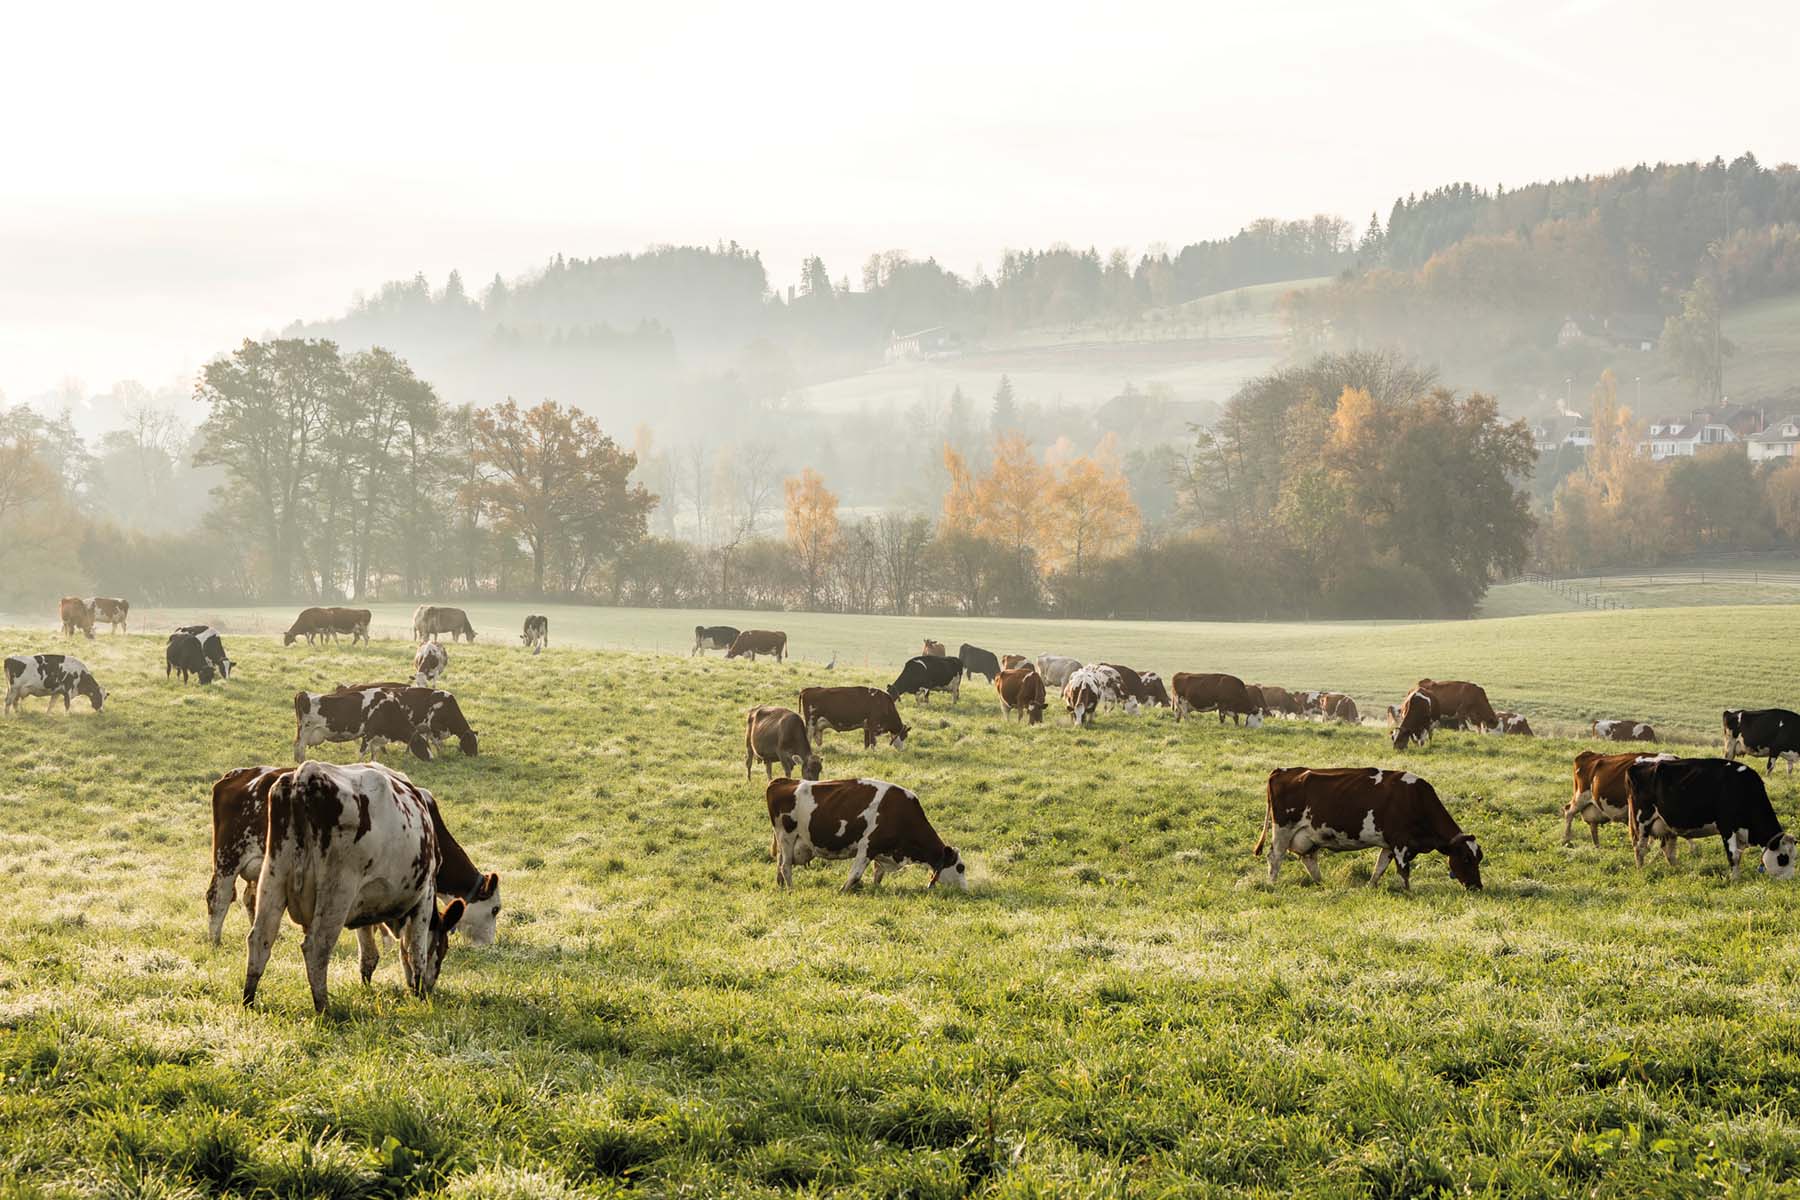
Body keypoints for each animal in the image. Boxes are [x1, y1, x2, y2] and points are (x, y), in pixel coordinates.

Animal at [243, 759, 475, 1014]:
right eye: (443, 950)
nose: (431, 988)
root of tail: (306, 775)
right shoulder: (424, 895)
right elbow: (417, 953)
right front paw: (420, 995)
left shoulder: (365, 901)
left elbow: (369, 954)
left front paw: (367, 986)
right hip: (338, 890)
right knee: (316, 947)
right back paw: (324, 1009)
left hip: (273, 876)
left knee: (260, 938)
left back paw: (249, 1001)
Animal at [298, 683, 435, 759]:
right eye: (422, 744)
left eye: (428, 744)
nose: (431, 758)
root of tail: (303, 693)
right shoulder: (368, 735)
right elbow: (361, 754)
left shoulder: (376, 739)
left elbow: (374, 756)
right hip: (304, 733)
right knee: (300, 752)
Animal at [770, 780, 972, 892]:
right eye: (960, 867)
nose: (966, 890)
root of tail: (782, 781)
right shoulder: (867, 846)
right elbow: (855, 875)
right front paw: (841, 891)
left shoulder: (882, 851)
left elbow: (878, 874)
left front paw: (876, 889)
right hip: (787, 837)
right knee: (786, 866)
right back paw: (791, 890)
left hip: (786, 842)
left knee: (780, 864)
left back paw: (780, 886)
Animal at [1260, 770, 1483, 892]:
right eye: (1466, 859)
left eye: (1478, 858)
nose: (1477, 887)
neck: (1415, 798)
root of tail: (1282, 771)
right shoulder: (1401, 843)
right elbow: (1404, 872)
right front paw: (1408, 892)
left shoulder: (1390, 845)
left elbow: (1379, 868)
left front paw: (1370, 887)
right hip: (1283, 829)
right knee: (1275, 857)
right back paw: (1271, 884)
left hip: (1309, 836)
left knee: (1309, 859)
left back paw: (1321, 884)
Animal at [1627, 759, 1792, 881]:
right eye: (1783, 858)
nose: (1789, 880)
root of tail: (1637, 766)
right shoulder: (1726, 825)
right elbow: (1733, 855)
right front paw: (1735, 879)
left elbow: (1738, 856)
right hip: (1641, 821)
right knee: (1640, 848)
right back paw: (1641, 872)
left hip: (1667, 826)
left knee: (1668, 851)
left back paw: (1677, 870)